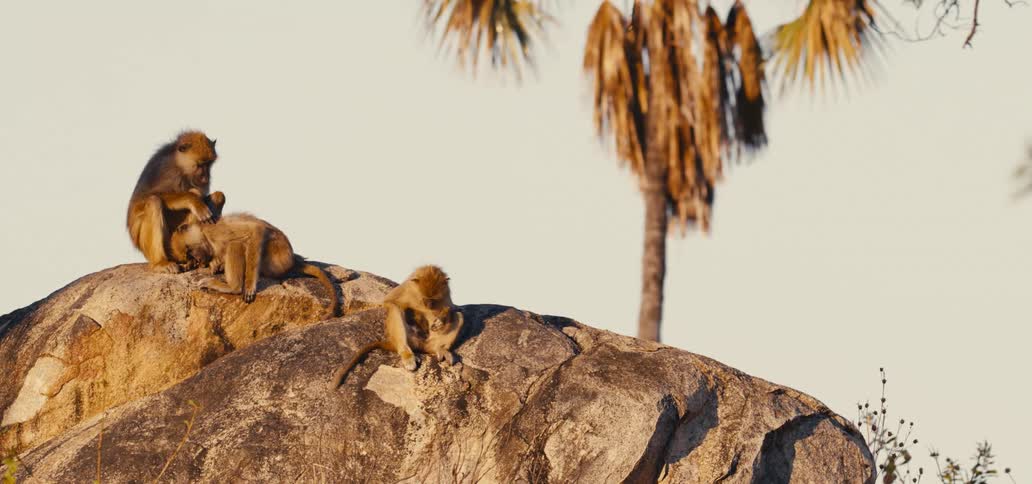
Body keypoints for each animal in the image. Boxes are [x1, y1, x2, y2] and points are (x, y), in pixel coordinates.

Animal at [126, 130, 223, 273]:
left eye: (209, 164)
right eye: (200, 165)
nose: (206, 177)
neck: (180, 166)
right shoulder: (166, 169)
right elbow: (143, 199)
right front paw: (193, 200)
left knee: (218, 196)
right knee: (154, 202)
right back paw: (161, 262)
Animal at [169, 213, 340, 318]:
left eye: (190, 252)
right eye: (189, 256)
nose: (197, 260)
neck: (203, 231)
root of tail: (291, 260)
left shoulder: (215, 231)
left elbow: (255, 230)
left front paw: (249, 286)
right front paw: (213, 264)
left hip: (275, 258)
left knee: (236, 243)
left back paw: (233, 287)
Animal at [331, 265, 464, 389]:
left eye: (433, 300)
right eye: (425, 299)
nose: (429, 305)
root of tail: (421, 346)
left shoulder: (445, 292)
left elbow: (452, 309)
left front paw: (442, 318)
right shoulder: (406, 288)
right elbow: (390, 302)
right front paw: (416, 316)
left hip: (430, 343)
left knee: (459, 316)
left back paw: (440, 349)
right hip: (410, 339)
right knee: (395, 310)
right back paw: (406, 353)